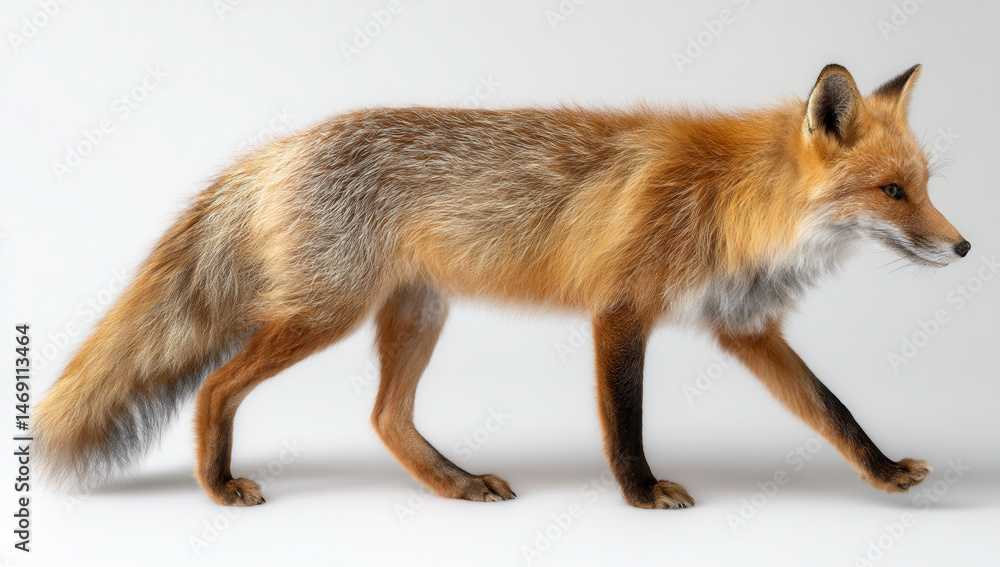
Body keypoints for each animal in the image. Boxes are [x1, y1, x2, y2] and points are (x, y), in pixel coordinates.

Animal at [34, 64, 970, 509]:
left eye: (924, 185)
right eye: (893, 192)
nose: (963, 247)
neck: (734, 200)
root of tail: (279, 146)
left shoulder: (746, 328)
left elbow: (834, 410)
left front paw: (883, 471)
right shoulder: (621, 309)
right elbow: (624, 421)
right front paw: (641, 494)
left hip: (417, 312)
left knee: (386, 416)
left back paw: (454, 483)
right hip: (326, 315)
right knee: (215, 387)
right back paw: (219, 484)